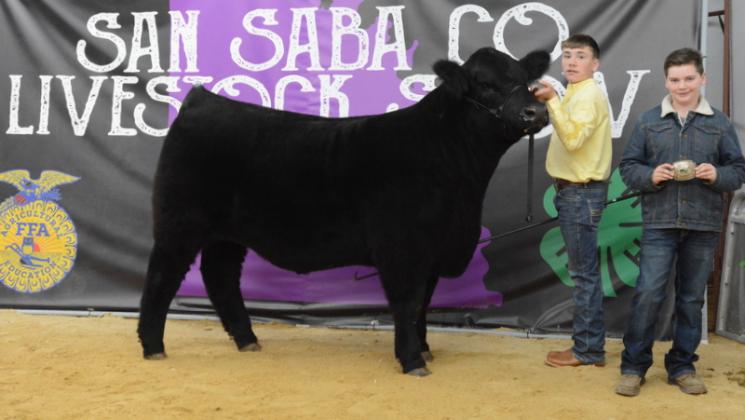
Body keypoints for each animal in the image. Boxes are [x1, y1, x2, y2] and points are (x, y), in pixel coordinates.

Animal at [138, 47, 550, 376]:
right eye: (485, 84)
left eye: (524, 80)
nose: (536, 111)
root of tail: (201, 100)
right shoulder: (403, 249)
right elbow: (408, 302)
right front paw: (412, 360)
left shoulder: (434, 249)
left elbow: (424, 303)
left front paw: (425, 349)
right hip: (179, 223)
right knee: (162, 277)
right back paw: (153, 347)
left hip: (228, 233)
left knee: (220, 277)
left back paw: (247, 339)